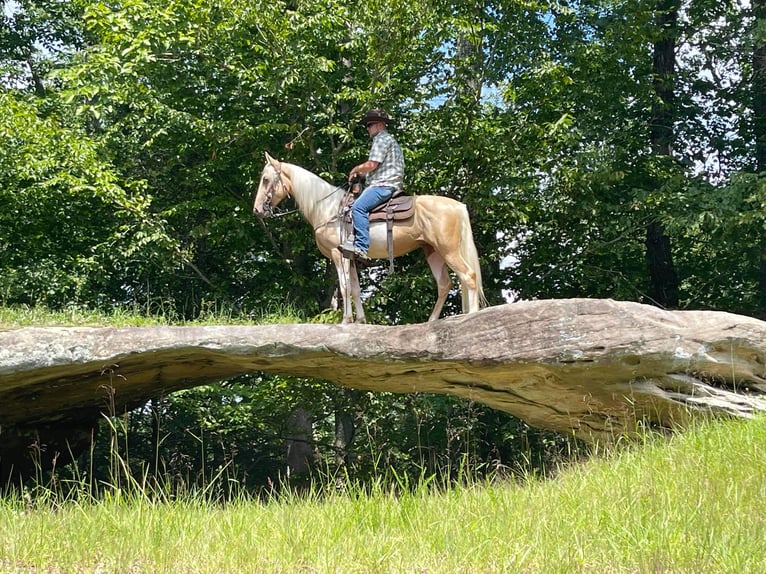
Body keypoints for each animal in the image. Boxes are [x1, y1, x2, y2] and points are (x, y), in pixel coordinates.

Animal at [256, 153, 486, 324]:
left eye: (266, 179)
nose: (257, 209)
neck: (328, 209)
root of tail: (458, 206)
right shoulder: (350, 257)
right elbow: (356, 289)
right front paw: (360, 321)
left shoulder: (337, 254)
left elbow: (344, 287)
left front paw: (346, 320)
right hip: (433, 252)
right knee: (444, 284)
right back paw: (431, 321)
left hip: (449, 250)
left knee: (469, 276)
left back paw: (472, 317)